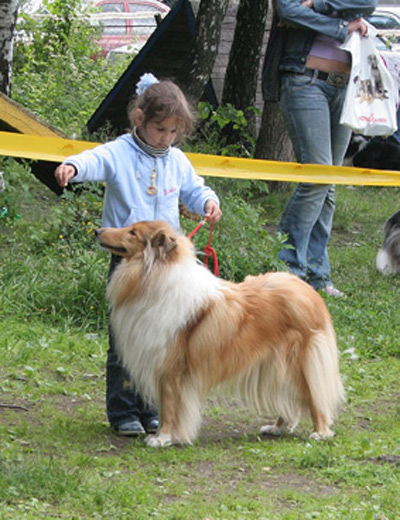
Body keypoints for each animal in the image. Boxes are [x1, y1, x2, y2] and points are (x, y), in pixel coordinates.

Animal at [96, 219, 344, 446]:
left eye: (132, 232)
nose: (98, 230)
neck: (153, 275)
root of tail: (310, 292)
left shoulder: (171, 368)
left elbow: (168, 406)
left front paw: (162, 438)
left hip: (300, 363)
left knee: (314, 396)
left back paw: (320, 432)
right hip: (276, 366)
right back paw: (276, 428)